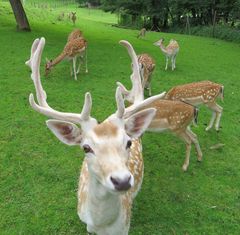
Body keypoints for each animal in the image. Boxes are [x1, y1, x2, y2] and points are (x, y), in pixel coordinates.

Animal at [117, 42, 202, 172]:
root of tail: (194, 109)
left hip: (177, 127)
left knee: (188, 141)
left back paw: (185, 166)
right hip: (185, 126)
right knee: (195, 136)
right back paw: (199, 158)